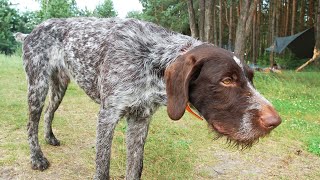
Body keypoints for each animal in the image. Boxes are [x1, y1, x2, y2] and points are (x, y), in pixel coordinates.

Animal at [16, 17, 282, 179]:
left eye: (250, 77)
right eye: (227, 80)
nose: (275, 122)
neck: (153, 58)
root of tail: (30, 32)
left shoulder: (140, 120)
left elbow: (135, 167)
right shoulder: (108, 117)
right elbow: (103, 167)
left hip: (59, 86)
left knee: (49, 112)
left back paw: (50, 138)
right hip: (37, 86)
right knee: (31, 123)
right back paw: (37, 158)